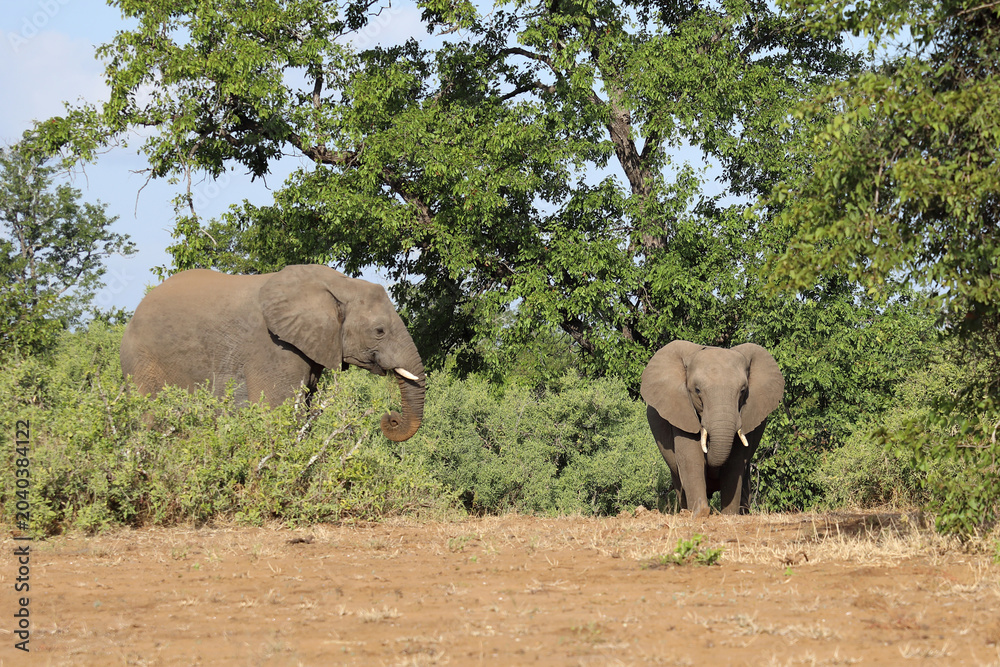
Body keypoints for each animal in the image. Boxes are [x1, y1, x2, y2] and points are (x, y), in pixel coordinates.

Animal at [120, 264, 425, 442]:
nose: (391, 417)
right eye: (379, 331)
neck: (339, 284)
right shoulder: (273, 347)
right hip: (142, 360)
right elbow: (279, 410)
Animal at [640, 340, 784, 517]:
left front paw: (729, 515)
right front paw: (700, 513)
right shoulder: (681, 410)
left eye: (743, 390)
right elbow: (691, 458)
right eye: (697, 390)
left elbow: (735, 462)